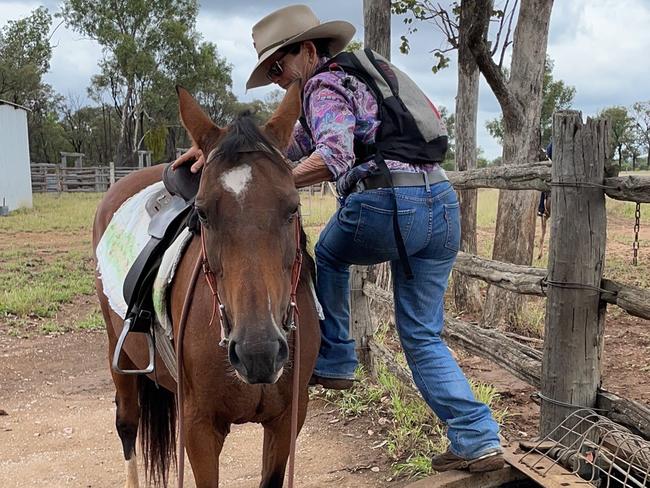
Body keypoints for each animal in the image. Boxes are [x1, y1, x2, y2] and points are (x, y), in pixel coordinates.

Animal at [92, 82, 320, 486]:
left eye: (293, 207)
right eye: (201, 213)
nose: (258, 351)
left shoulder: (287, 420)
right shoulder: (199, 426)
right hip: (117, 354)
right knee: (127, 425)